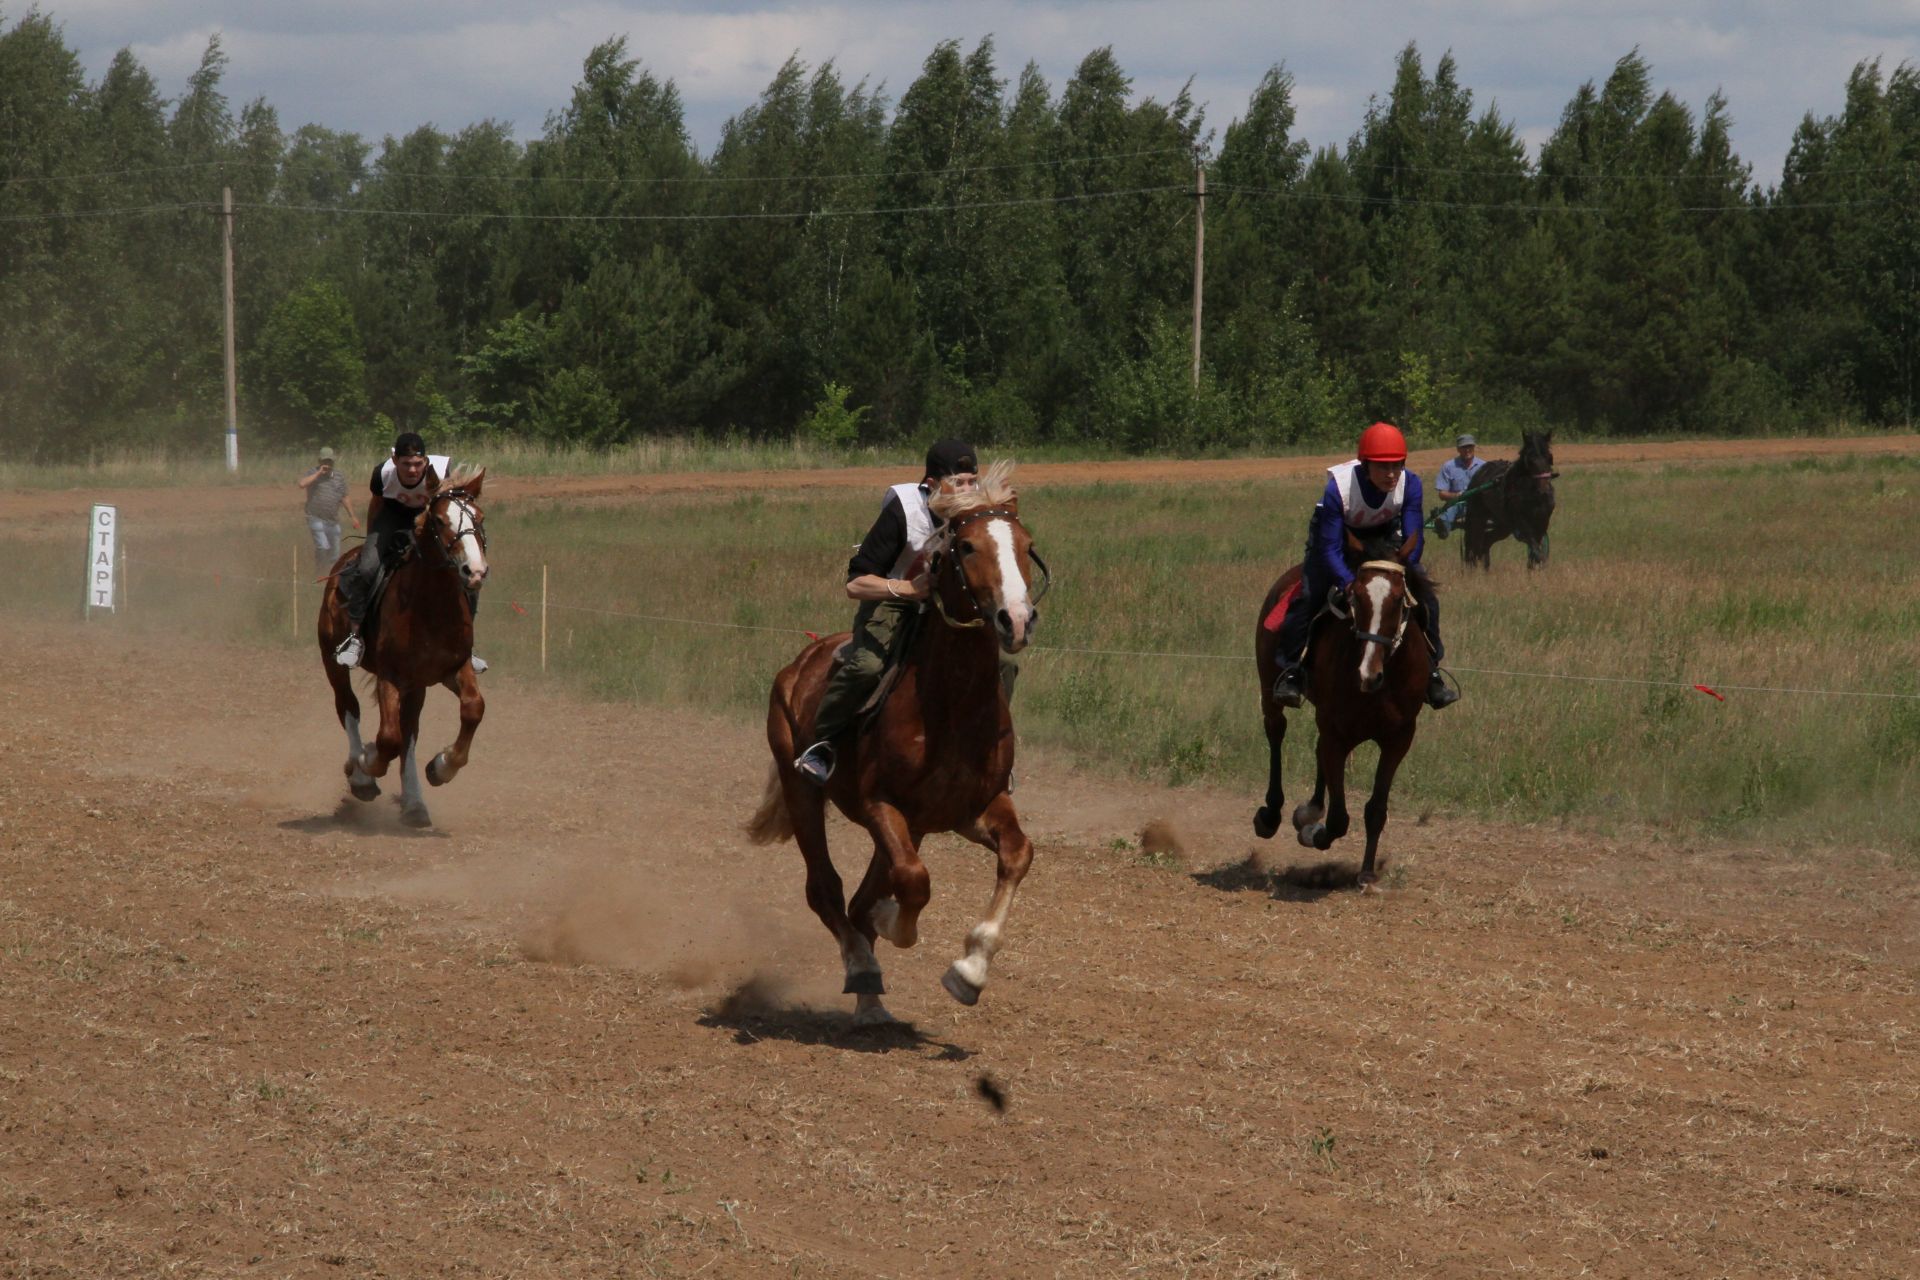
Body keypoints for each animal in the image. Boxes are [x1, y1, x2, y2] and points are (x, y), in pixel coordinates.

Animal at [318, 470, 491, 832]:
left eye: (479, 518)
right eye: (440, 521)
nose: (475, 571)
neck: (431, 606)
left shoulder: (454, 669)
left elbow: (473, 709)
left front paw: (442, 766)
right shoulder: (391, 676)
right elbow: (387, 738)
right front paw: (366, 763)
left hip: (417, 686)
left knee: (409, 732)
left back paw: (414, 803)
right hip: (333, 661)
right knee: (348, 707)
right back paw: (361, 776)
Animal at [748, 466, 1052, 1028]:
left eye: (1026, 545)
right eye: (968, 546)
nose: (1017, 620)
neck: (950, 706)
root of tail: (800, 661)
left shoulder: (971, 808)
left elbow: (1018, 855)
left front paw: (970, 971)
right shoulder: (880, 805)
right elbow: (911, 882)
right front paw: (895, 925)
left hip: (910, 827)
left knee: (858, 899)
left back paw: (871, 1004)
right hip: (803, 791)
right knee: (826, 890)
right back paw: (862, 968)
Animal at [1251, 556, 1436, 886]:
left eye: (1398, 601)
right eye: (1356, 598)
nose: (1368, 674)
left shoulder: (1398, 739)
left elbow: (1376, 809)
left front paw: (1367, 872)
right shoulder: (1337, 734)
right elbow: (1338, 819)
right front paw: (1314, 834)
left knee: (1317, 750)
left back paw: (1310, 810)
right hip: (1270, 690)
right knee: (1276, 731)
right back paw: (1271, 815)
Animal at [1459, 429, 1551, 571]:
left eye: (1548, 457)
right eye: (1530, 460)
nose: (1544, 491)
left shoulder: (1542, 522)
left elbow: (1534, 550)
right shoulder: (1521, 522)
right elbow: (1534, 547)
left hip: (1503, 524)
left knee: (1486, 541)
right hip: (1478, 518)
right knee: (1474, 545)